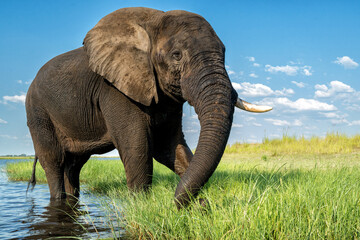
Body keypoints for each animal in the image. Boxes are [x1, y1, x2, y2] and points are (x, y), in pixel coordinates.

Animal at [26, 6, 272, 207]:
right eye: (176, 55)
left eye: (224, 53)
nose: (201, 202)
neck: (153, 21)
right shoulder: (115, 89)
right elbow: (137, 146)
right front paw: (141, 207)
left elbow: (168, 146)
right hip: (37, 111)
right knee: (54, 161)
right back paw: (58, 201)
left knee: (74, 165)